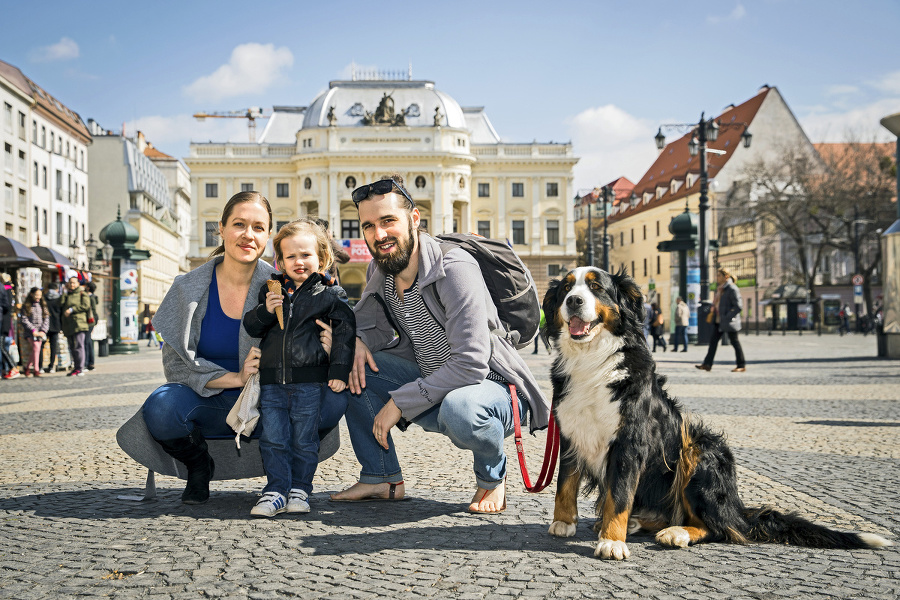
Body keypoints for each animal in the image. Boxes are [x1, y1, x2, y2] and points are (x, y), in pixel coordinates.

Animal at [540, 266, 892, 556]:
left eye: (596, 287)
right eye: (566, 288)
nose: (573, 301)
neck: (591, 361)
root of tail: (736, 506)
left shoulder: (629, 442)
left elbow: (620, 495)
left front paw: (612, 541)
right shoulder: (570, 432)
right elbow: (565, 484)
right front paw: (564, 522)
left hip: (698, 449)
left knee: (721, 528)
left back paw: (676, 533)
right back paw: (641, 523)